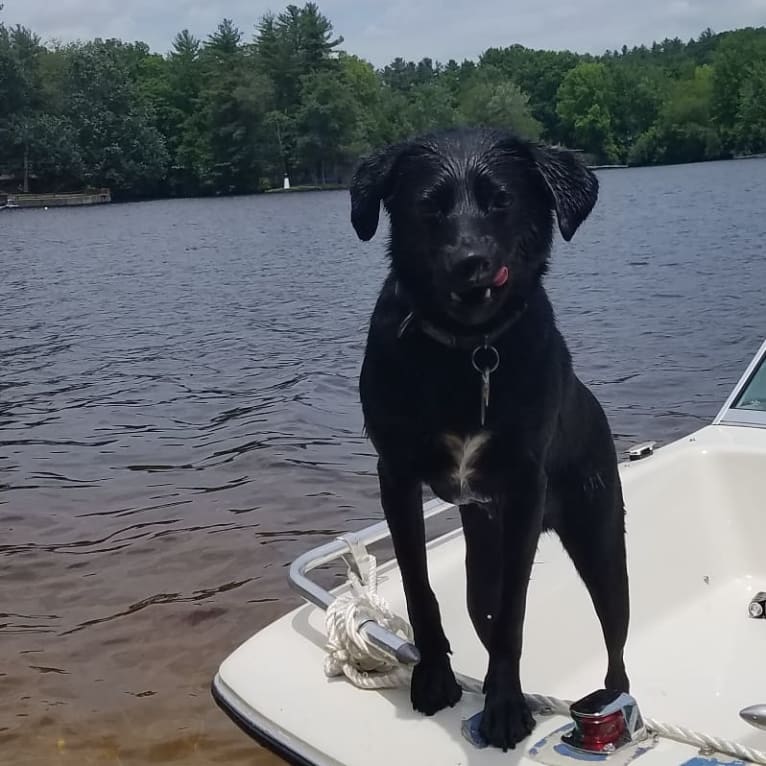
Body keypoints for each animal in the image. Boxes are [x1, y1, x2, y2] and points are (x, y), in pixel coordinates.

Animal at [352, 129, 632, 752]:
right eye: (429, 205)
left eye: (501, 200)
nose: (469, 262)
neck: (468, 350)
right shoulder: (395, 474)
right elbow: (418, 585)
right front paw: (434, 676)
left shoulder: (526, 487)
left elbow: (515, 613)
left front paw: (504, 707)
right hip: (479, 565)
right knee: (481, 609)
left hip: (603, 544)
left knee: (616, 646)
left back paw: (612, 702)